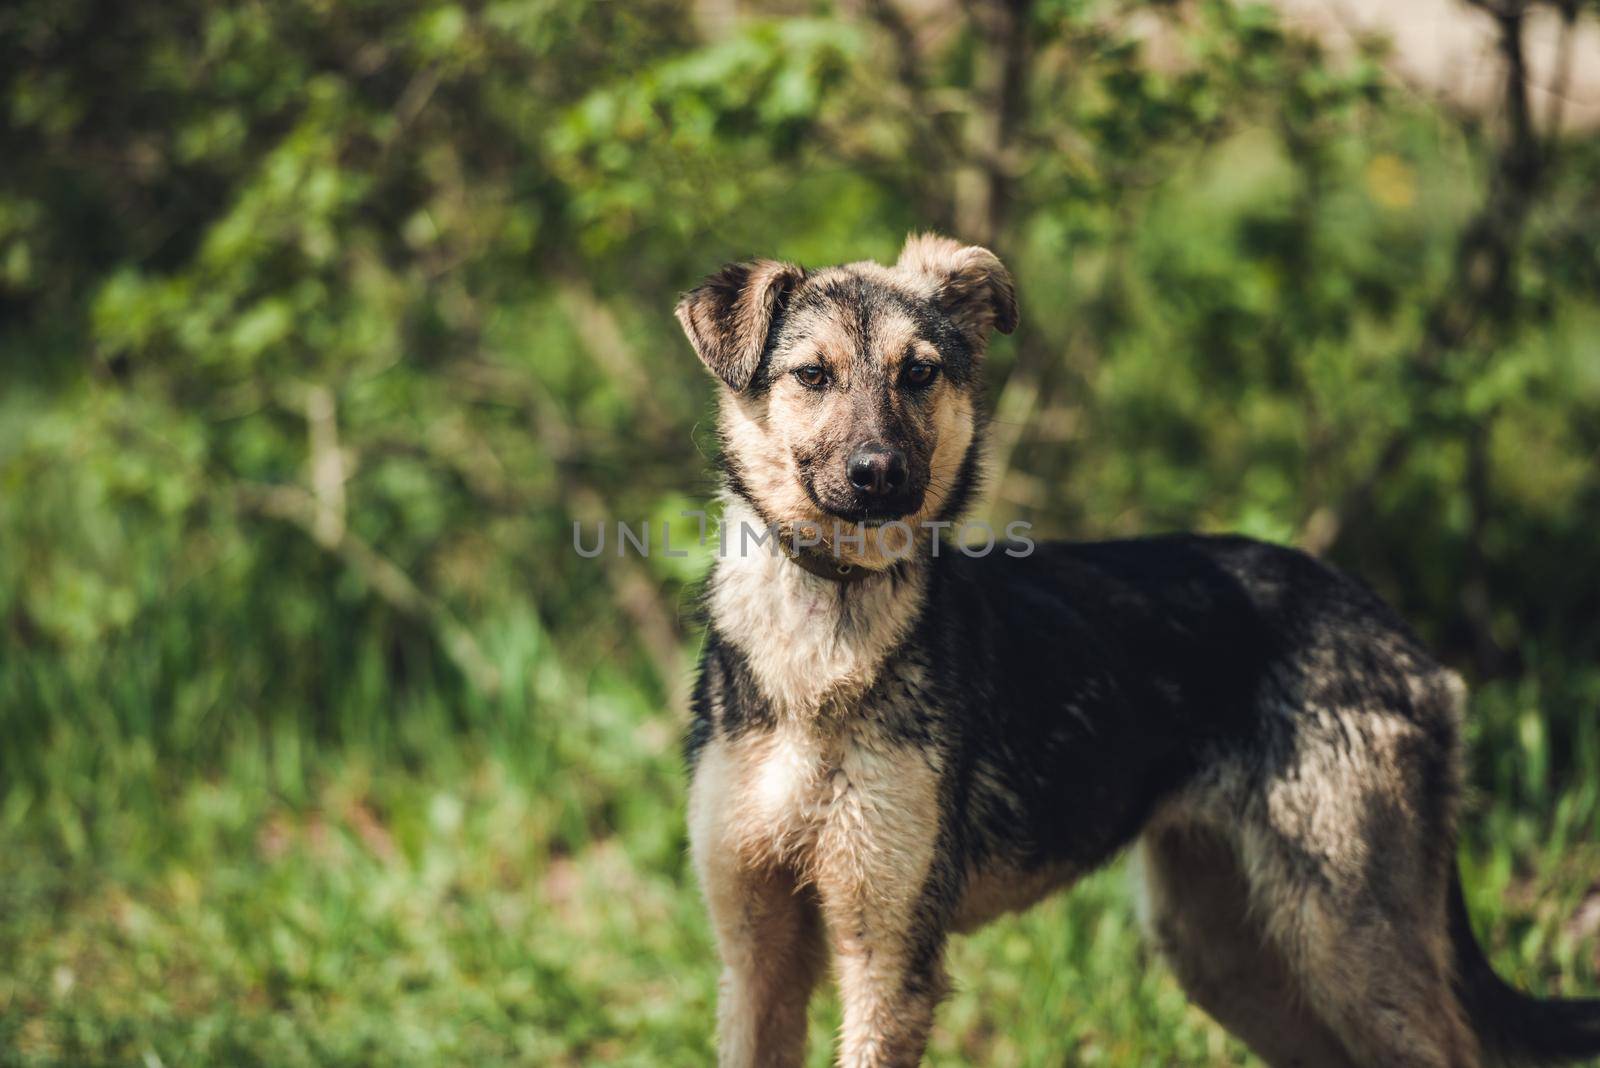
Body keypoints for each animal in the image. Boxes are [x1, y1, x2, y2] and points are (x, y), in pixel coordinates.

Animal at [675, 233, 1600, 1068]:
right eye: (813, 376)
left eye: (919, 373)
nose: (881, 473)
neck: (819, 644)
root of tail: (1399, 634)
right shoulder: (754, 961)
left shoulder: (888, 956)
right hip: (1226, 955)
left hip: (1348, 945)